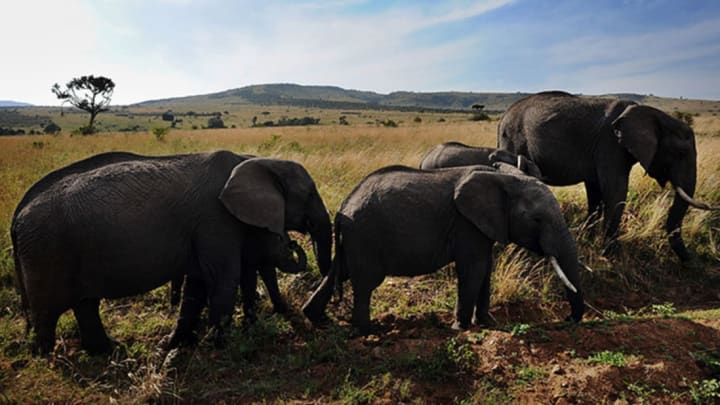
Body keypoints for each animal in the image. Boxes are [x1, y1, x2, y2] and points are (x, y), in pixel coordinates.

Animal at [11, 149, 332, 354]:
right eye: (309, 194)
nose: (293, 243)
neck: (254, 161)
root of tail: (18, 215)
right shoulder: (216, 219)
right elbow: (222, 278)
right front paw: (222, 348)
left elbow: (198, 285)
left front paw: (175, 345)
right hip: (45, 250)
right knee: (47, 313)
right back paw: (48, 358)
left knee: (85, 304)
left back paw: (108, 351)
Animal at [300, 164, 584, 334]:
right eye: (536, 219)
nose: (568, 319)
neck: (504, 178)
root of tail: (343, 208)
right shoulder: (466, 224)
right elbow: (473, 269)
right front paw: (462, 328)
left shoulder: (482, 227)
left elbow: (485, 270)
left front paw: (487, 323)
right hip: (365, 235)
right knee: (365, 282)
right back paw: (368, 331)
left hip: (355, 239)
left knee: (339, 273)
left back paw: (315, 317)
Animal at [498, 91, 716, 260]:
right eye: (680, 153)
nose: (690, 262)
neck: (651, 114)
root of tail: (503, 117)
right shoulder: (610, 145)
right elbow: (615, 191)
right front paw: (610, 255)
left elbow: (595, 192)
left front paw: (587, 239)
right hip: (513, 139)